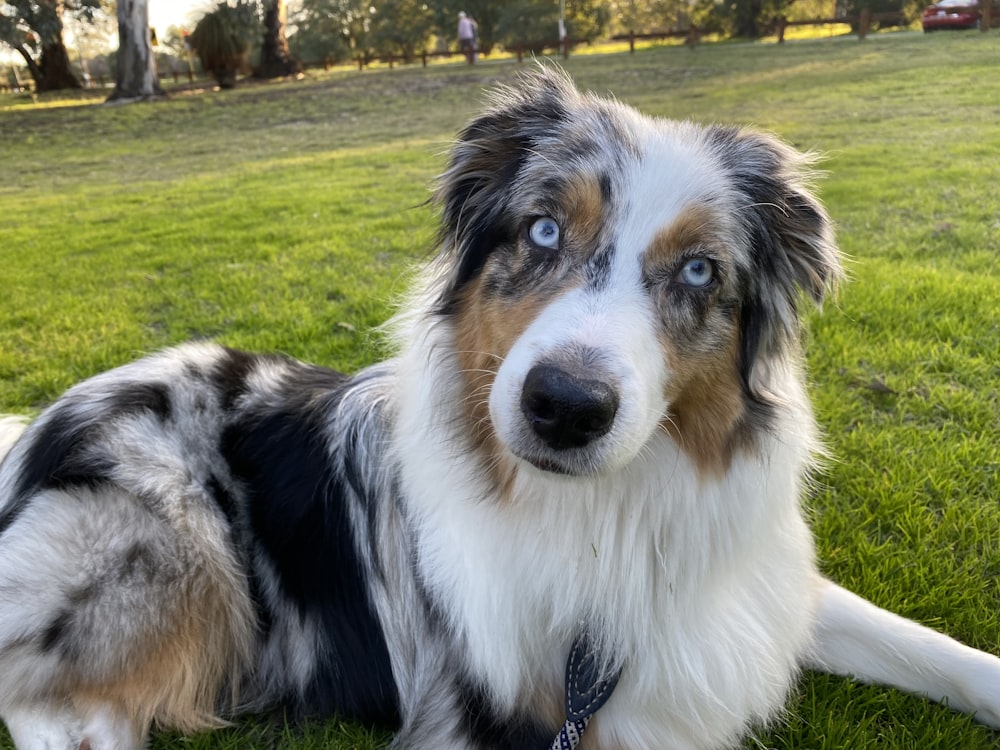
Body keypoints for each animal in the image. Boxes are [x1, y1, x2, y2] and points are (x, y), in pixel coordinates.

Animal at [1, 67, 1000, 748]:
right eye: (544, 230)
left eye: (699, 271)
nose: (565, 406)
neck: (609, 515)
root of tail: (36, 427)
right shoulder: (492, 715)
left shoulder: (747, 593)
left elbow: (921, 642)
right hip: (173, 559)